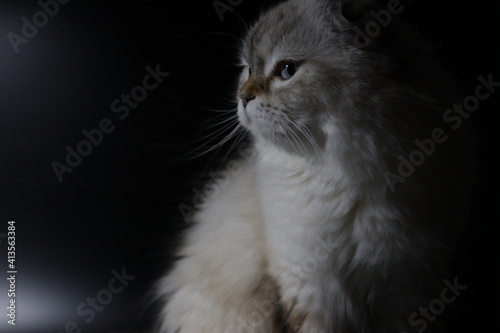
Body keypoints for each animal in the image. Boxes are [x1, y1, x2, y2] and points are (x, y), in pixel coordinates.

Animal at [154, 0, 474, 330]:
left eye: (286, 71)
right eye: (247, 69)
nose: (243, 97)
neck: (338, 177)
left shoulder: (405, 291)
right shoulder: (310, 291)